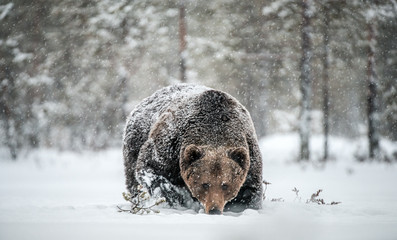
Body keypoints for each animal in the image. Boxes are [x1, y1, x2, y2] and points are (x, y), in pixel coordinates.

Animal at [122, 84, 262, 214]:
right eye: (205, 184)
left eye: (225, 184)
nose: (214, 210)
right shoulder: (170, 146)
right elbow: (150, 168)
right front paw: (175, 198)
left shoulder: (249, 156)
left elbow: (250, 192)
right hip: (135, 140)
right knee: (133, 180)